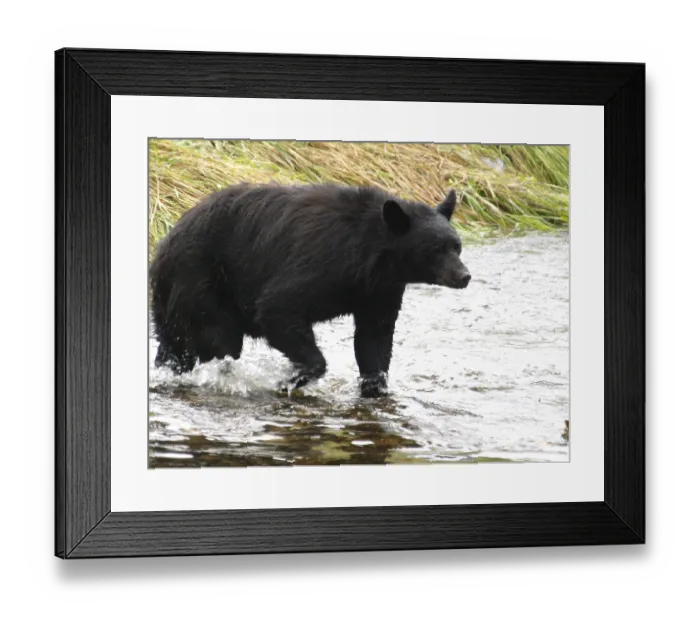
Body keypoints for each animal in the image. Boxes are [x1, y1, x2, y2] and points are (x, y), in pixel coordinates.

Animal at [150, 183, 471, 398]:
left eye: (457, 246)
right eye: (435, 250)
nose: (464, 276)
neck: (372, 254)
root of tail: (163, 246)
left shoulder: (379, 290)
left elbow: (374, 338)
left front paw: (375, 387)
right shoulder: (321, 263)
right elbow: (278, 307)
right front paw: (292, 379)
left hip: (174, 304)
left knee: (175, 346)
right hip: (202, 284)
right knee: (220, 341)